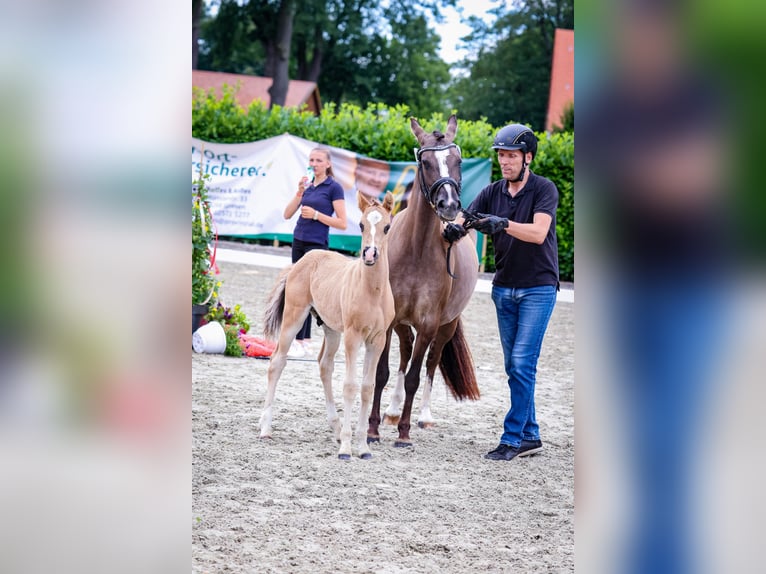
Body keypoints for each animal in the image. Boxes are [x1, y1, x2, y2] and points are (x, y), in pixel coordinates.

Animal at [262, 191, 396, 462]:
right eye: (361, 225)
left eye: (387, 226)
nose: (369, 255)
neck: (373, 291)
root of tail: (301, 261)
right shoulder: (353, 336)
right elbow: (350, 386)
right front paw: (346, 449)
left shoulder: (377, 339)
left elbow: (367, 388)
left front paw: (363, 447)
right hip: (294, 317)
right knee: (277, 361)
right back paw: (265, 428)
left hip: (331, 329)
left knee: (324, 366)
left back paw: (334, 427)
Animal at [368, 115, 480, 448]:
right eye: (426, 161)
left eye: (458, 161)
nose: (449, 205)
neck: (415, 249)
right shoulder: (388, 320)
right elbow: (383, 372)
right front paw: (373, 429)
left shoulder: (430, 324)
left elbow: (416, 376)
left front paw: (404, 434)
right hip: (403, 324)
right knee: (405, 353)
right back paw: (392, 411)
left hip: (447, 325)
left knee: (431, 362)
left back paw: (422, 417)